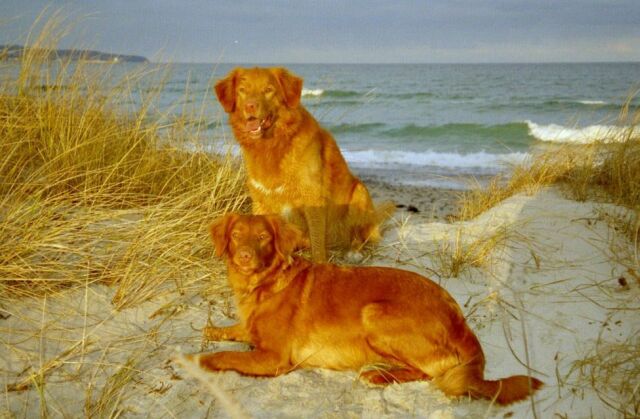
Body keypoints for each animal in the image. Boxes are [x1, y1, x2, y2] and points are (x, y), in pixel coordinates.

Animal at [191, 215, 544, 406]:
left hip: (375, 315)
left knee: (431, 371)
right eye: (236, 235)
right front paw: (212, 329)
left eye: (264, 236)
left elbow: (225, 355)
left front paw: (197, 359)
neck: (265, 283)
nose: (245, 256)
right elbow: (234, 330)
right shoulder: (252, 331)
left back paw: (378, 374)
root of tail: (459, 317)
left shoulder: (274, 358)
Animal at [215, 67, 396, 260]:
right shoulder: (260, 201)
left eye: (268, 90)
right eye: (242, 90)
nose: (250, 106)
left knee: (359, 236)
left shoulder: (313, 199)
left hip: (359, 193)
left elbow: (317, 246)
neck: (274, 146)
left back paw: (353, 252)